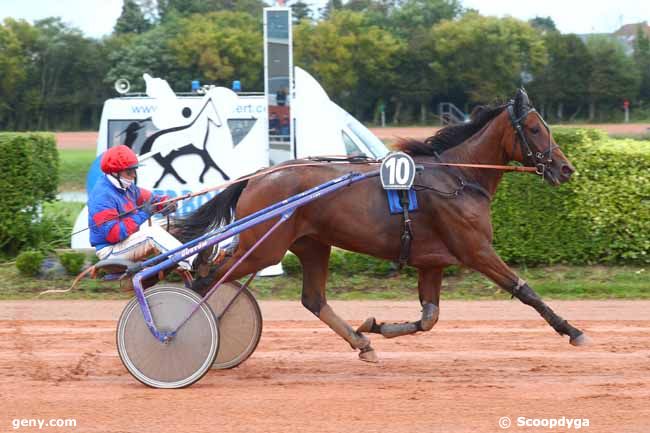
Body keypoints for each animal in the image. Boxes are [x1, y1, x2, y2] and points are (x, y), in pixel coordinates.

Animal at [177, 88, 588, 362]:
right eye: (534, 128)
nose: (566, 168)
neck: (457, 177)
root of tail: (260, 174)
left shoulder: (432, 262)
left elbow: (429, 318)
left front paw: (374, 326)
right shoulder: (475, 249)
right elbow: (525, 290)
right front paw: (572, 330)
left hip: (310, 244)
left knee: (311, 299)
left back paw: (362, 344)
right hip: (264, 248)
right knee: (207, 279)